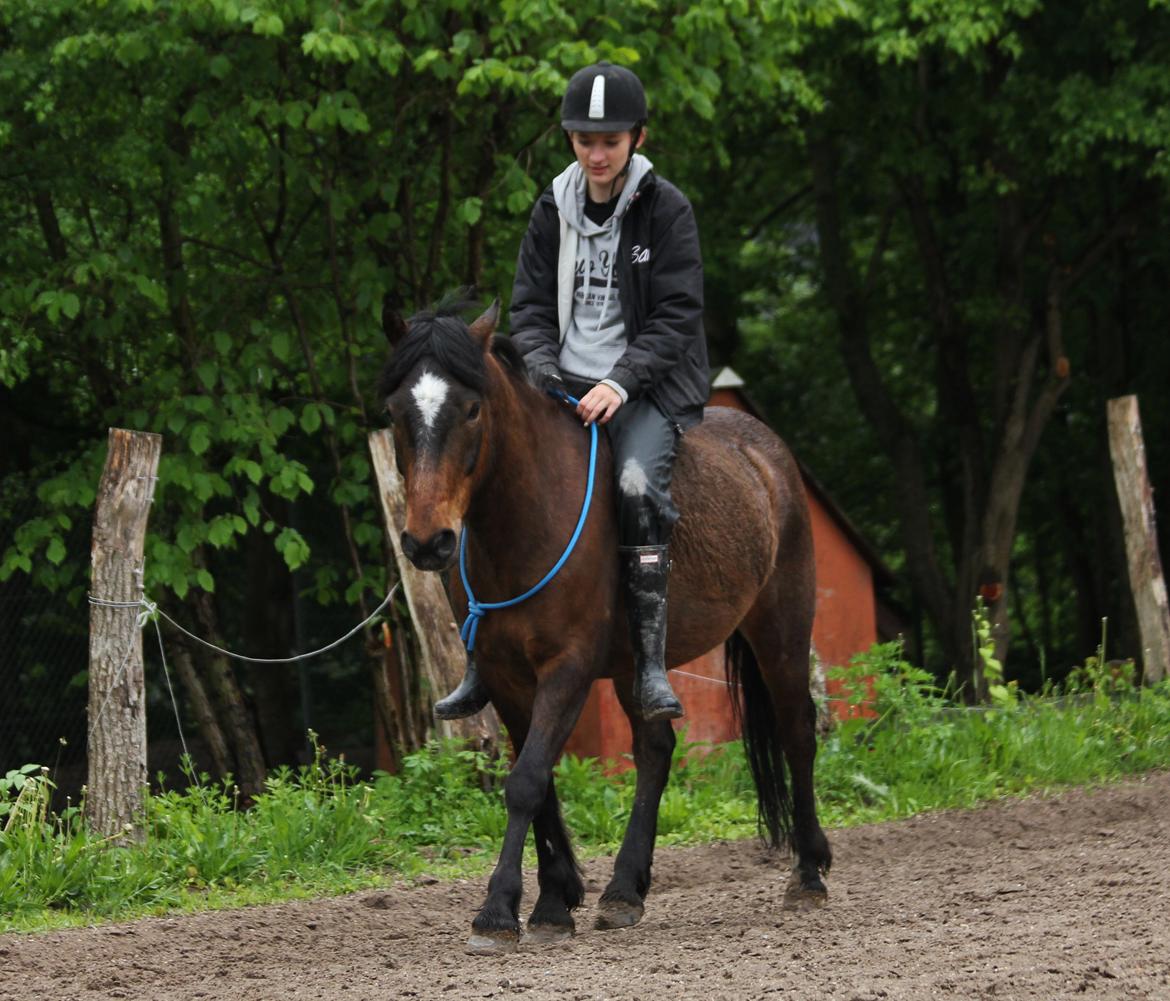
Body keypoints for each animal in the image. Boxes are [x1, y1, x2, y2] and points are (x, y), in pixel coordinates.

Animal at [376, 297, 833, 954]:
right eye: (394, 412)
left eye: (471, 408)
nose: (426, 541)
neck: (526, 520)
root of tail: (766, 455)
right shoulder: (507, 677)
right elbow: (539, 783)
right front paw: (553, 899)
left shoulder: (567, 667)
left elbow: (526, 779)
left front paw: (499, 912)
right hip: (637, 667)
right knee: (656, 750)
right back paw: (624, 889)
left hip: (781, 628)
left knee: (798, 731)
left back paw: (809, 872)